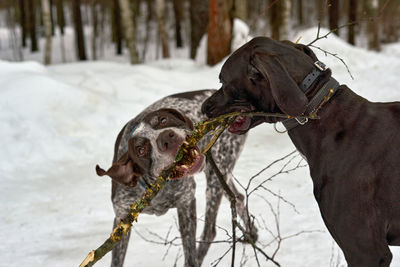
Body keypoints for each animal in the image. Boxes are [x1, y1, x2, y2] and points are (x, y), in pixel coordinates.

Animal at [97, 90, 256, 267]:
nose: (166, 137)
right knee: (238, 198)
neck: (156, 188)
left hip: (217, 172)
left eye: (163, 120)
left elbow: (190, 254)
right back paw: (251, 235)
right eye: (141, 149)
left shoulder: (186, 202)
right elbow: (116, 259)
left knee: (209, 231)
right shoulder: (122, 219)